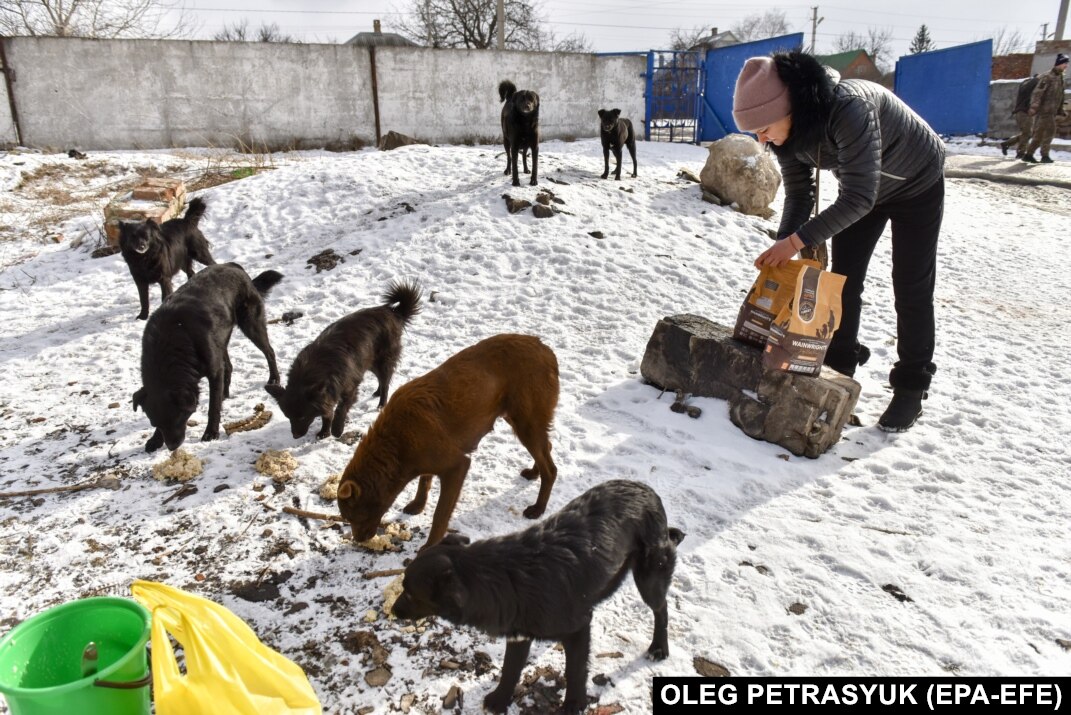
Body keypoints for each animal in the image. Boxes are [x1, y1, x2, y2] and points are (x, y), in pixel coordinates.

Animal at [132, 262, 282, 451]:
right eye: (154, 422)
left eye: (179, 418)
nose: (172, 447)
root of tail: (233, 266)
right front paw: (155, 439)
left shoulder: (213, 370)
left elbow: (213, 408)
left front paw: (211, 432)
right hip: (221, 338)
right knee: (228, 366)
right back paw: (224, 393)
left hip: (251, 324)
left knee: (269, 351)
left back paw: (274, 378)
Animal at [263, 280, 421, 438]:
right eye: (288, 417)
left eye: (302, 417)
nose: (295, 436)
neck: (311, 371)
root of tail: (393, 312)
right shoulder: (329, 392)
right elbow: (327, 413)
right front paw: (324, 431)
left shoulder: (348, 387)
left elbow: (340, 409)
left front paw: (337, 429)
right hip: (369, 362)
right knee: (381, 381)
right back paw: (377, 392)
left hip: (383, 361)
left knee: (386, 382)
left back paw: (381, 404)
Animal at [338, 333, 561, 548]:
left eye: (351, 516)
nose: (358, 540)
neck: (396, 445)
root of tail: (547, 351)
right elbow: (424, 480)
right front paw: (417, 505)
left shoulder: (456, 466)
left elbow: (440, 515)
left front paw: (429, 547)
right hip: (520, 419)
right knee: (546, 447)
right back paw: (533, 473)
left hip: (526, 420)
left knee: (551, 468)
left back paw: (538, 508)